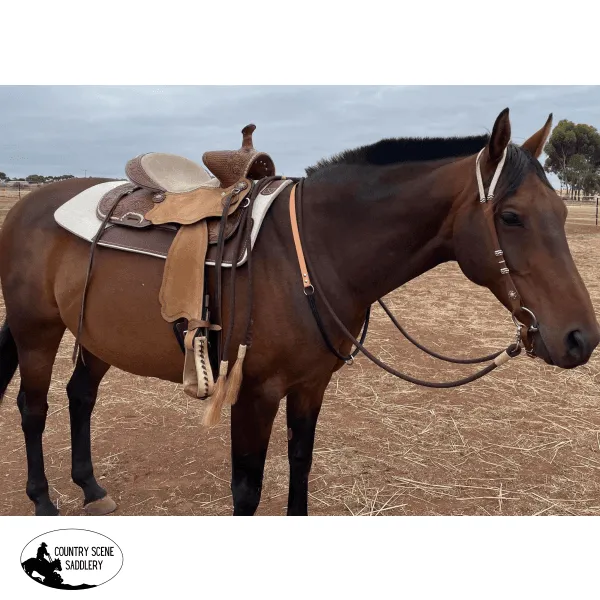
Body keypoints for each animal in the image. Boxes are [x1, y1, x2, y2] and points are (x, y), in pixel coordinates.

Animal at [0, 109, 596, 516]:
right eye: (512, 216)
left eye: (563, 211)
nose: (580, 338)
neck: (312, 250)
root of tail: (30, 204)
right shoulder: (254, 391)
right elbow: (247, 488)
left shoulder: (310, 386)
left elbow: (300, 465)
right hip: (36, 331)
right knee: (34, 408)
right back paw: (44, 499)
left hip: (97, 334)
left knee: (81, 396)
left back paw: (90, 487)